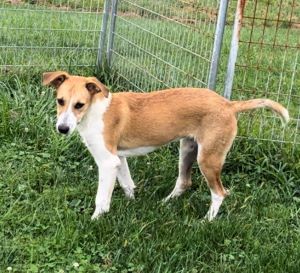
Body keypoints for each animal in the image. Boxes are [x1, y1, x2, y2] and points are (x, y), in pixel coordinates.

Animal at [42, 70, 288, 221]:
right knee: (184, 182)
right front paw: (132, 204)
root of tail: (229, 105)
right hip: (187, 150)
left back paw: (206, 221)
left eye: (79, 105)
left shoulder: (107, 161)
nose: (62, 129)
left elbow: (102, 198)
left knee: (220, 192)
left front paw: (96, 220)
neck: (94, 110)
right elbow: (127, 184)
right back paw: (165, 203)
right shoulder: (119, 158)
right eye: (60, 101)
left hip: (208, 159)